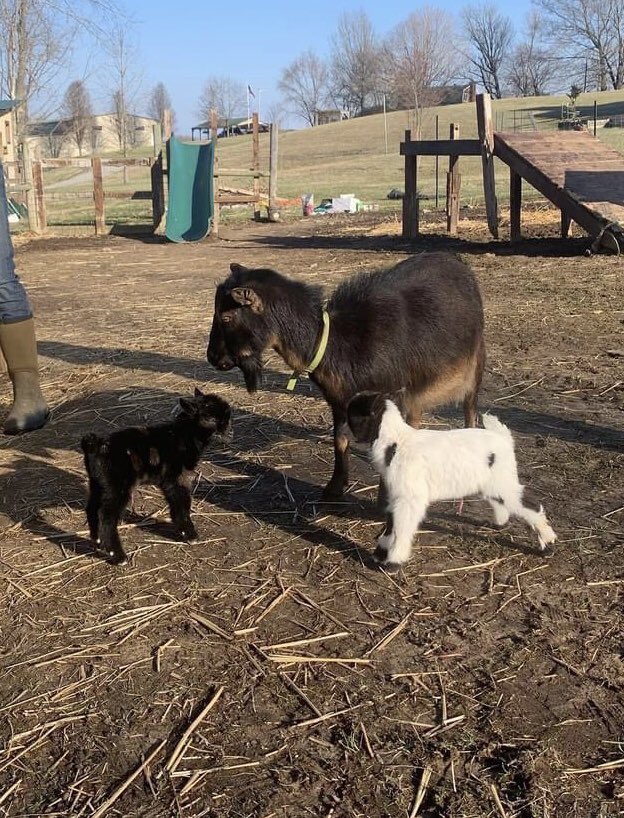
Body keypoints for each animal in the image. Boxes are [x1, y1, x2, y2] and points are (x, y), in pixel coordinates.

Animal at [81, 389, 231, 565]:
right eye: (211, 419)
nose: (228, 429)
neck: (182, 435)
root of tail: (95, 445)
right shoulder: (177, 479)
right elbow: (182, 504)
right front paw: (189, 534)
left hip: (99, 484)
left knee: (92, 508)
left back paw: (97, 541)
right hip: (117, 487)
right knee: (107, 517)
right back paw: (118, 556)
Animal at [207, 253, 485, 500]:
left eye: (226, 316)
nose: (212, 357)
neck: (336, 341)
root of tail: (457, 262)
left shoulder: (388, 398)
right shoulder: (339, 400)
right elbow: (339, 440)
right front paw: (334, 487)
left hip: (475, 361)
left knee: (470, 407)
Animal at [347, 391, 557, 572]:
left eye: (354, 413)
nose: (342, 424)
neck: (396, 443)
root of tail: (504, 439)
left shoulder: (410, 497)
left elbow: (401, 527)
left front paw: (393, 562)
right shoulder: (396, 494)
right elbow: (392, 524)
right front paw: (380, 555)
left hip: (502, 480)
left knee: (528, 504)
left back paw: (548, 545)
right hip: (492, 481)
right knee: (501, 501)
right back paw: (499, 524)